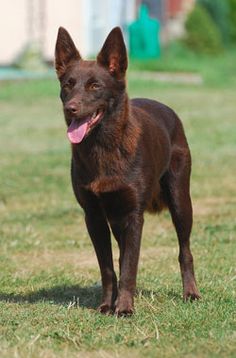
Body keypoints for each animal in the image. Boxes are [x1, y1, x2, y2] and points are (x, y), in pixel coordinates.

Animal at [54, 27, 200, 314]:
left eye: (95, 86)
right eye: (68, 84)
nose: (70, 109)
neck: (102, 147)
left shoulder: (134, 216)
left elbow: (129, 266)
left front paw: (124, 309)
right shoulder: (94, 217)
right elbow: (109, 268)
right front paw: (106, 306)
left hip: (180, 200)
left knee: (184, 251)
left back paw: (191, 293)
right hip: (116, 218)